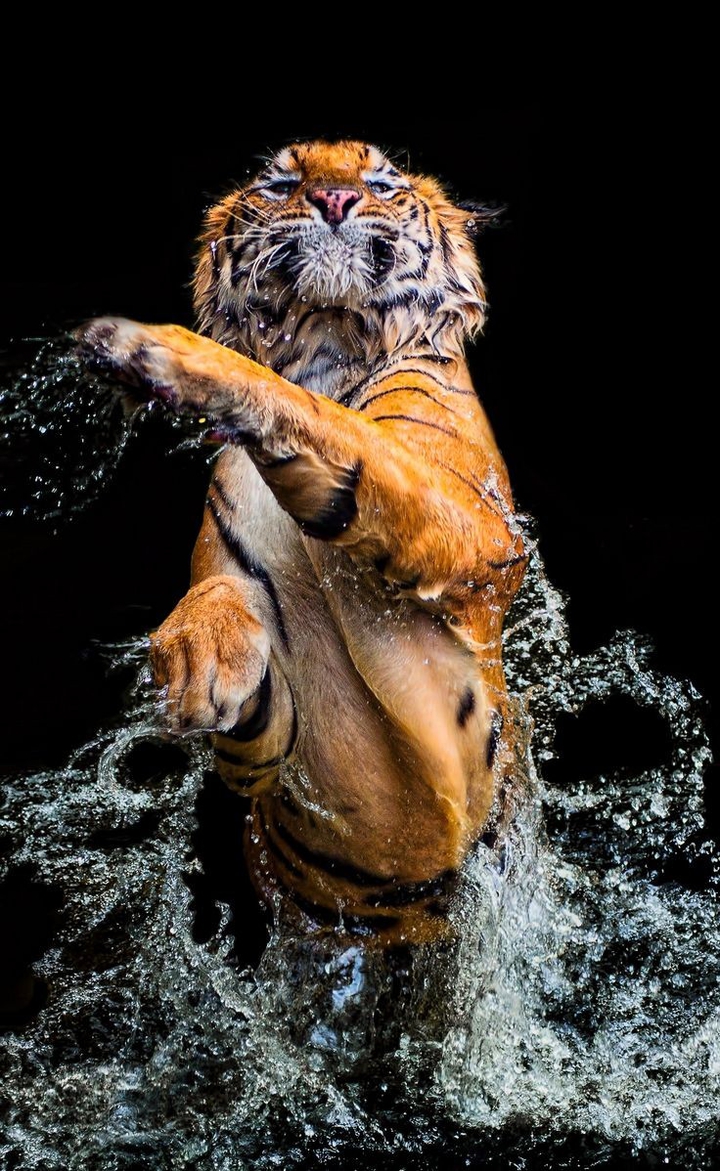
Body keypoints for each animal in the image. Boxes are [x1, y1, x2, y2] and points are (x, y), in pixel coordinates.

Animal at [79, 139, 527, 948]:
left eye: (380, 180)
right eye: (281, 182)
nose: (334, 200)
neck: (327, 342)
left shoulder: (473, 533)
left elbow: (333, 427)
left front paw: (159, 351)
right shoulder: (262, 748)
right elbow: (220, 596)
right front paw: (196, 659)